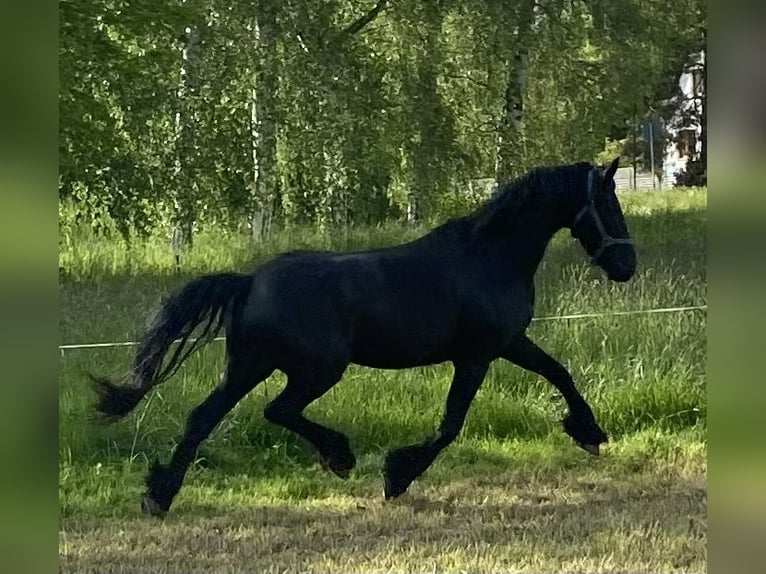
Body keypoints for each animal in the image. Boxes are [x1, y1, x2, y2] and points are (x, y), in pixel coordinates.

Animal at [91, 158, 635, 516]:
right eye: (608, 205)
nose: (626, 265)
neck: (489, 257)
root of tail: (249, 282)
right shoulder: (478, 355)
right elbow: (450, 425)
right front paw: (397, 475)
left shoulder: (509, 344)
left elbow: (559, 372)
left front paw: (589, 433)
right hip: (316, 369)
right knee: (278, 410)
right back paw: (339, 455)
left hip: (251, 366)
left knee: (205, 417)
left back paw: (159, 494)